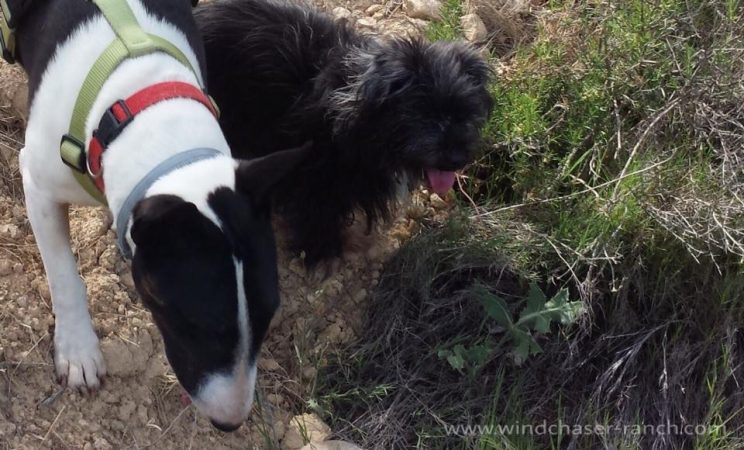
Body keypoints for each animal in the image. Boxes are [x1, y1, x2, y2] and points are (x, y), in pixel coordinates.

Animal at [12, 0, 302, 432]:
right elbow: (63, 273)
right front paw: (79, 351)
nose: (231, 423)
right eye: (194, 325)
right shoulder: (38, 184)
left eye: (269, 317)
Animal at [196, 0, 494, 268]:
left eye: (465, 112)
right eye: (424, 113)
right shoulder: (317, 169)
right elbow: (316, 209)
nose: (457, 159)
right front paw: (320, 251)